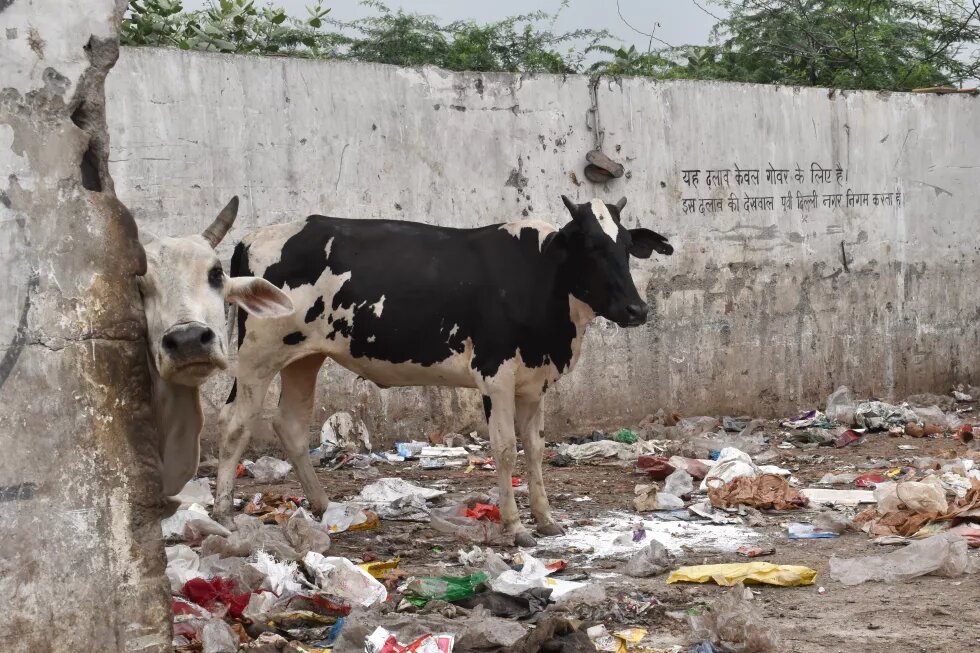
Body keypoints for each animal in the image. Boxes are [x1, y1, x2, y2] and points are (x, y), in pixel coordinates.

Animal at [217, 195, 668, 544]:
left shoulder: (533, 381)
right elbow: (506, 450)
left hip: (304, 357)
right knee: (235, 423)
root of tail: (252, 237)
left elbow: (536, 449)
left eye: (626, 245)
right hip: (257, 356)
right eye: (590, 246)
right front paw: (515, 526)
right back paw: (222, 513)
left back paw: (324, 504)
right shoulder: (495, 374)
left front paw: (546, 519)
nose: (636, 309)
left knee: (290, 424)